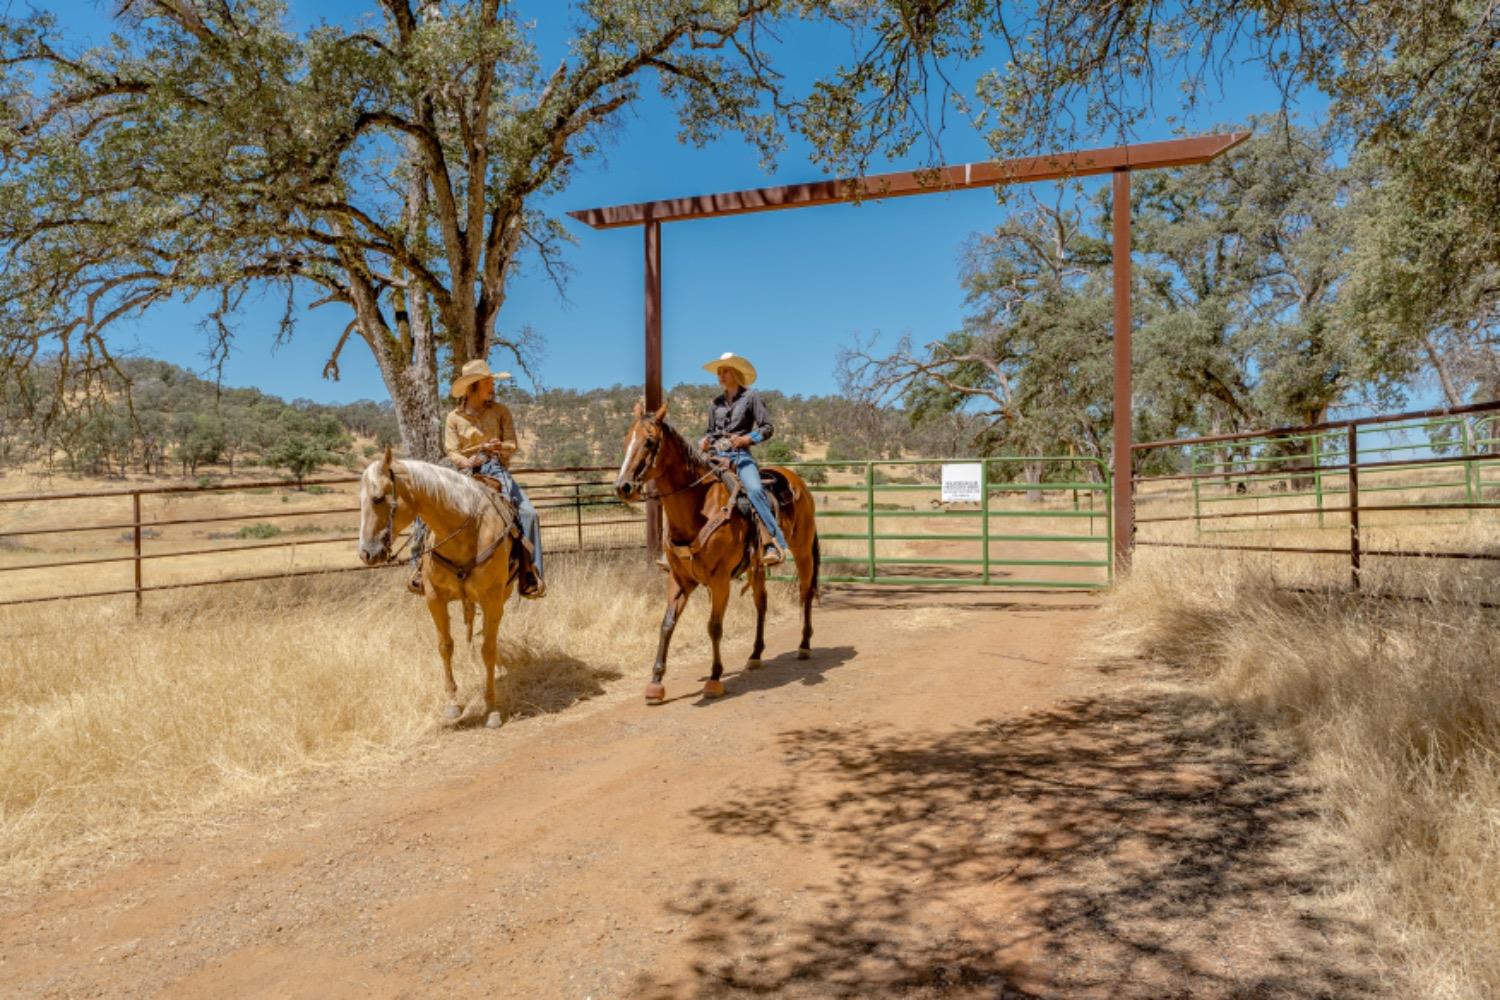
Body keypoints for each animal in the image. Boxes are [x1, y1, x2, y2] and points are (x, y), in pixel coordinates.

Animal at [355, 446, 516, 728]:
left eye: (377, 498)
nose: (366, 553)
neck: (465, 529)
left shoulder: (492, 597)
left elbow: (488, 647)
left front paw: (492, 707)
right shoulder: (434, 598)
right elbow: (445, 646)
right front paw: (452, 704)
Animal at [612, 401, 822, 704]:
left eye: (649, 441)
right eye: (626, 439)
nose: (623, 486)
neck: (697, 507)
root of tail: (797, 481)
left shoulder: (720, 579)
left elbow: (714, 626)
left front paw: (714, 678)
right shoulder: (678, 579)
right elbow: (667, 624)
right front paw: (655, 682)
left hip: (803, 551)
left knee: (805, 593)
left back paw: (804, 645)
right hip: (758, 566)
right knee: (761, 603)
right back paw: (755, 654)